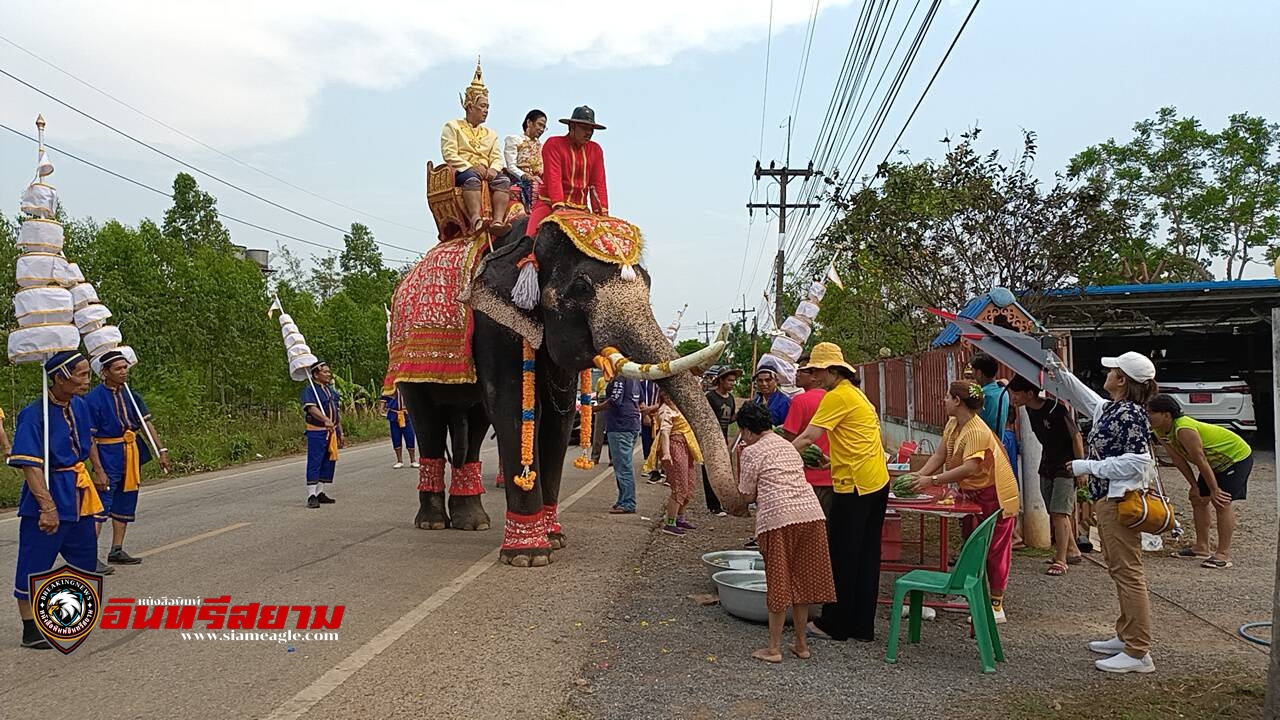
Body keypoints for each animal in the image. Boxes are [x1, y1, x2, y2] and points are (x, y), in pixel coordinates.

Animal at [389, 210, 742, 563]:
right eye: (582, 287)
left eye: (649, 283)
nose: (739, 502)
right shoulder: (494, 323)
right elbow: (511, 406)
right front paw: (529, 556)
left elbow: (557, 418)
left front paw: (555, 539)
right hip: (405, 362)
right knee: (428, 423)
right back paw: (433, 523)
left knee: (474, 422)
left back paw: (473, 523)